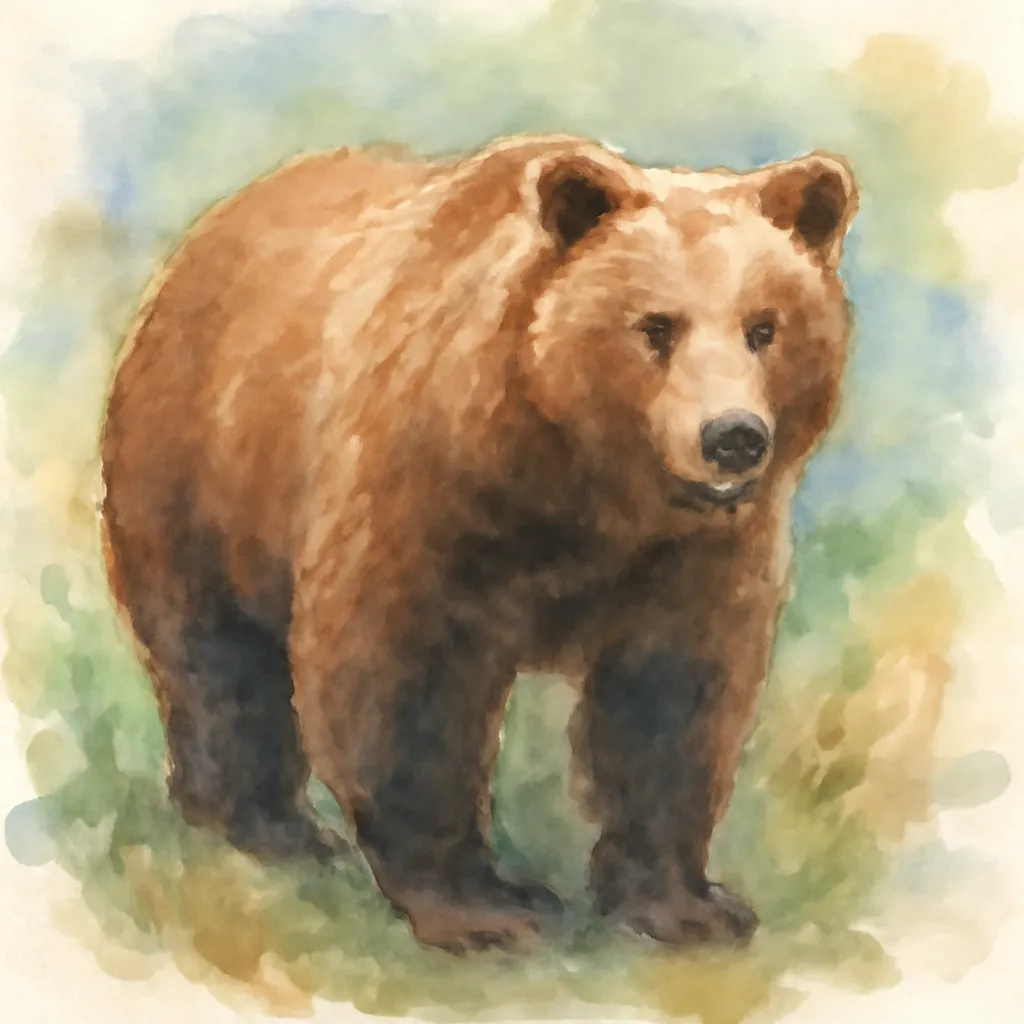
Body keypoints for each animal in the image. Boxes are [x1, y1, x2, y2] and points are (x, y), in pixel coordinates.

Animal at [100, 132, 858, 954]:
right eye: (657, 325)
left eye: (765, 327)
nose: (732, 437)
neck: (586, 482)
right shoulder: (431, 497)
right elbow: (402, 681)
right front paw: (486, 908)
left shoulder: (693, 557)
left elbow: (672, 699)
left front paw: (686, 904)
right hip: (203, 467)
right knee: (216, 659)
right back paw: (265, 826)